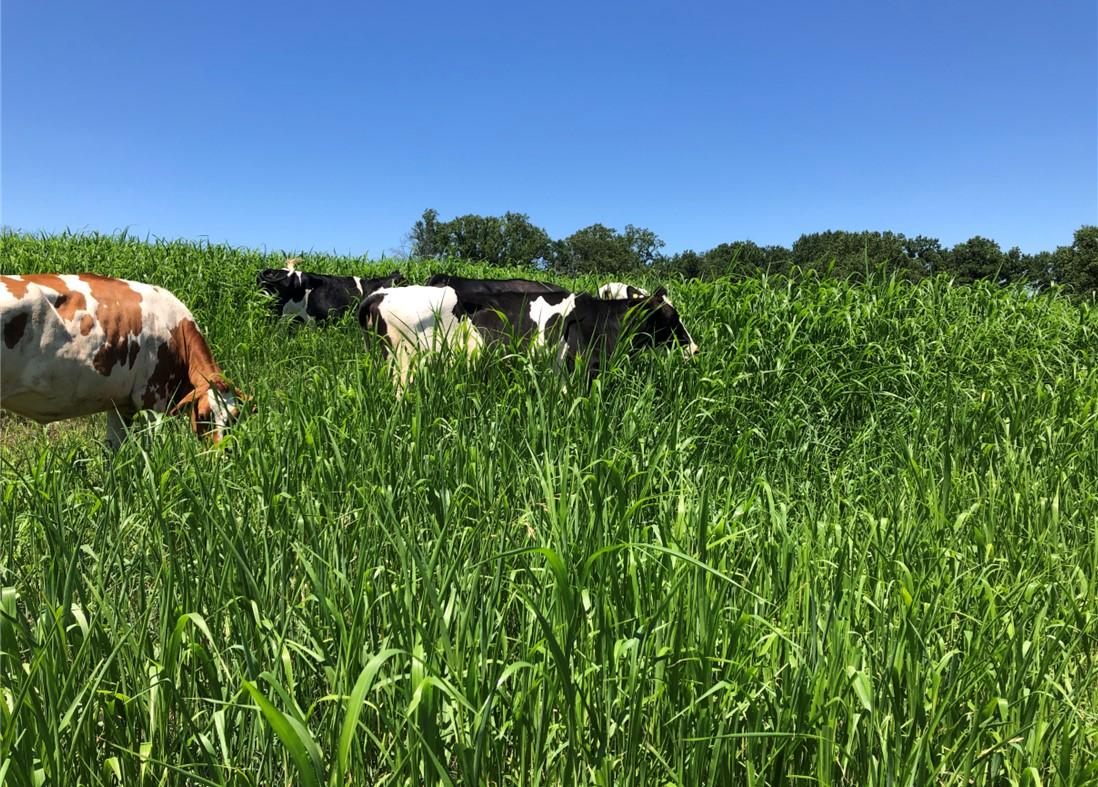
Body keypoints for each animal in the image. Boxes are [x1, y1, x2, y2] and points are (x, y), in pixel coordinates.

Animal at [1, 274, 247, 447]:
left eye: (235, 417)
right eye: (204, 416)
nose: (223, 452)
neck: (176, 329)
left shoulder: (119, 405)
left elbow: (114, 452)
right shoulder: (153, 400)